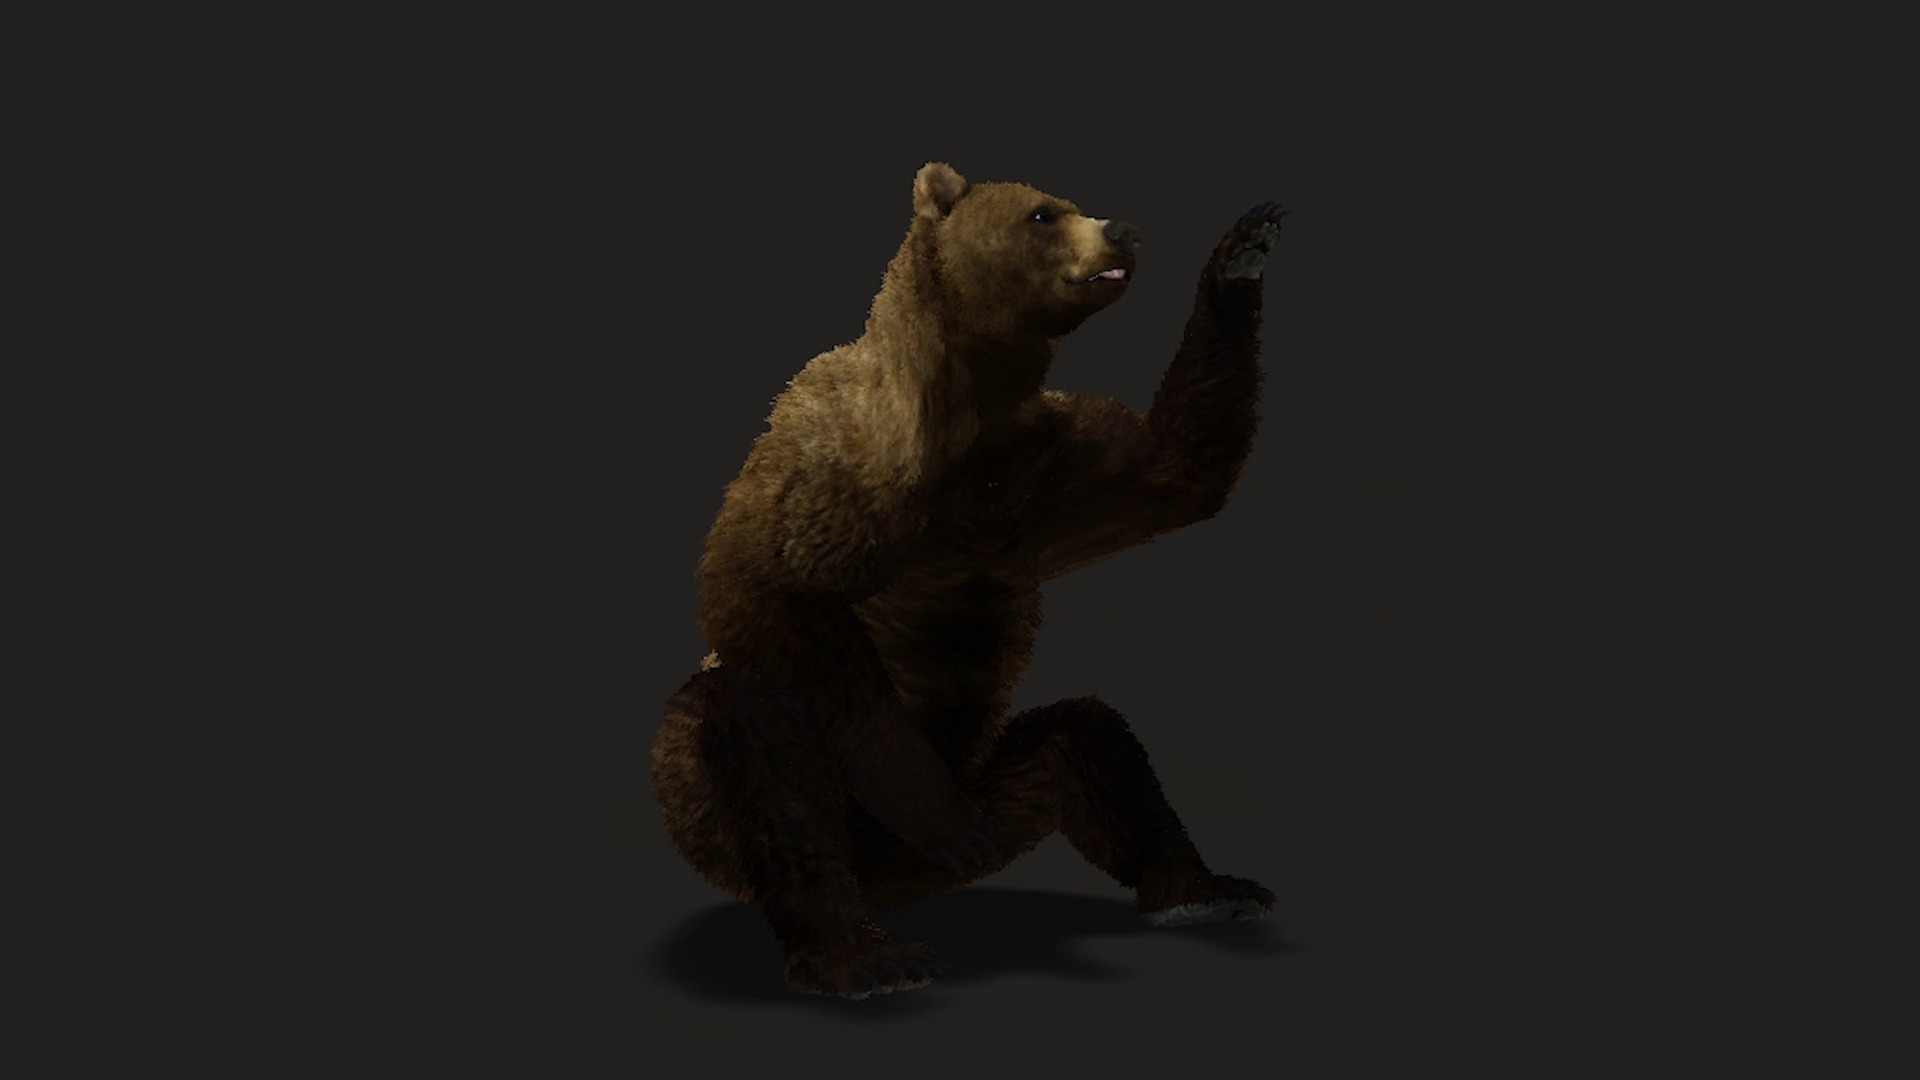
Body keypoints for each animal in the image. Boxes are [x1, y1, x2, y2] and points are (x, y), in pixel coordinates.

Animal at [651, 162, 1288, 1000]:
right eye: (1043, 213)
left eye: (1074, 203)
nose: (1125, 230)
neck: (959, 414)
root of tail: (892, 883)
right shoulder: (827, 451)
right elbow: (759, 584)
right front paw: (932, 810)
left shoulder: (1039, 469)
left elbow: (1179, 468)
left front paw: (1241, 252)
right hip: (732, 814)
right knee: (753, 740)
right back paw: (869, 954)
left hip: (1004, 787)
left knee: (1091, 739)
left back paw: (1205, 888)